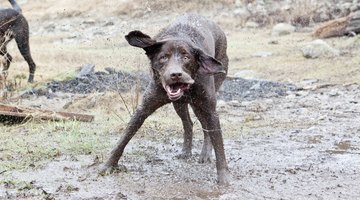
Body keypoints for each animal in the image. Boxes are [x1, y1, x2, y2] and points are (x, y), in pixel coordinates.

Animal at [101, 14, 231, 185]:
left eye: (186, 57)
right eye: (163, 57)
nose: (176, 74)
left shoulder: (210, 109)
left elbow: (219, 144)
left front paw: (223, 177)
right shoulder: (144, 108)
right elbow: (124, 137)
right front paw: (108, 165)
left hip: (202, 103)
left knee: (205, 128)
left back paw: (205, 154)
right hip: (180, 105)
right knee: (188, 123)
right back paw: (186, 151)